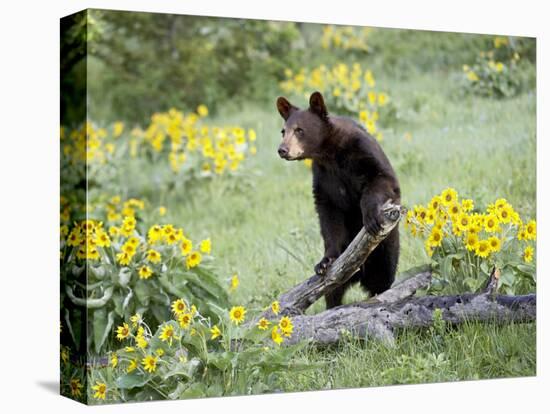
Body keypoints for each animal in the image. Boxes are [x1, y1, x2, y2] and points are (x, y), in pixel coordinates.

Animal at [276, 92, 402, 308]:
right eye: (283, 131)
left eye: (299, 130)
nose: (282, 149)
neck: (329, 153)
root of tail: (360, 275)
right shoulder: (324, 177)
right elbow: (329, 215)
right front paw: (325, 262)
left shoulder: (362, 151)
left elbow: (382, 179)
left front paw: (370, 218)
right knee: (333, 291)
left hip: (386, 249)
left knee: (383, 277)